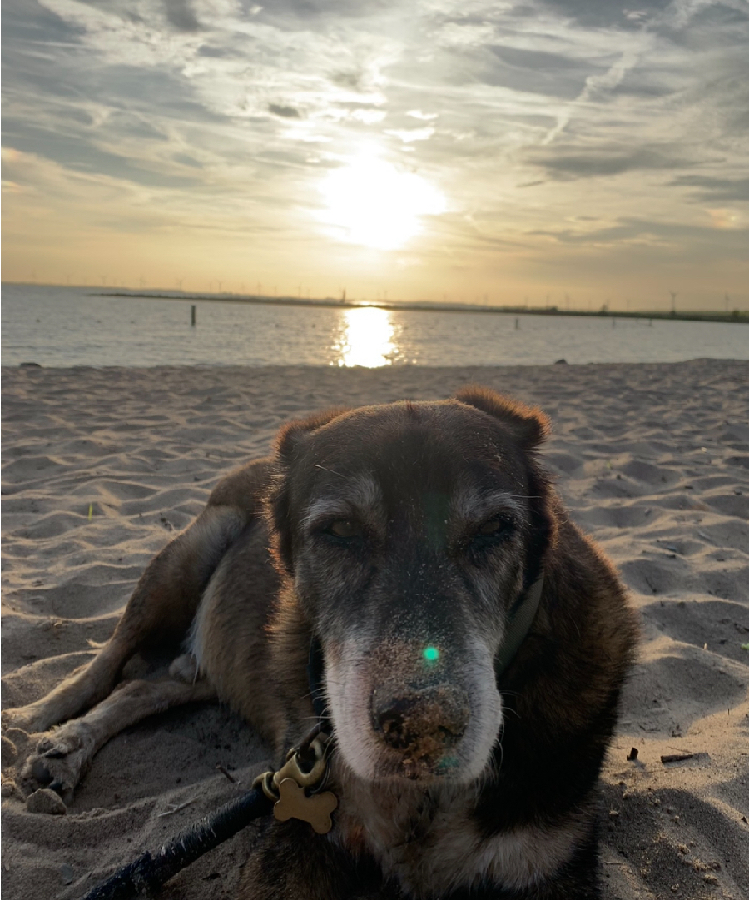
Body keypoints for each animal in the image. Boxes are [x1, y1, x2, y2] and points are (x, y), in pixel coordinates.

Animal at [4, 387, 637, 899]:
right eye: (339, 531)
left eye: (495, 530)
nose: (423, 727)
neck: (418, 801)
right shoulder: (297, 838)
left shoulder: (551, 864)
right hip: (190, 554)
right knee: (110, 658)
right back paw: (44, 726)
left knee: (152, 684)